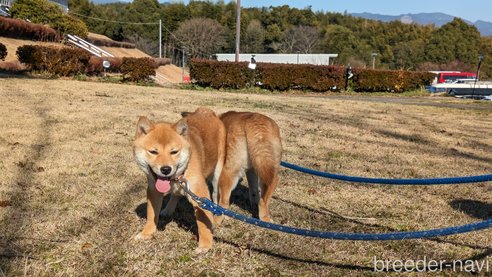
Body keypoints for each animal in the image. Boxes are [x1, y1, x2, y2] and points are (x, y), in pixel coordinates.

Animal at [135, 107, 227, 252]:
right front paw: (147, 233)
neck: (176, 179)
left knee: (217, 196)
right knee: (176, 195)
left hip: (217, 173)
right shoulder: (153, 190)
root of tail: (206, 111)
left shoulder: (199, 193)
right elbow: (151, 214)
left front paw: (205, 245)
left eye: (174, 152)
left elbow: (203, 223)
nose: (166, 169)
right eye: (153, 152)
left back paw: (217, 216)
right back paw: (168, 210)